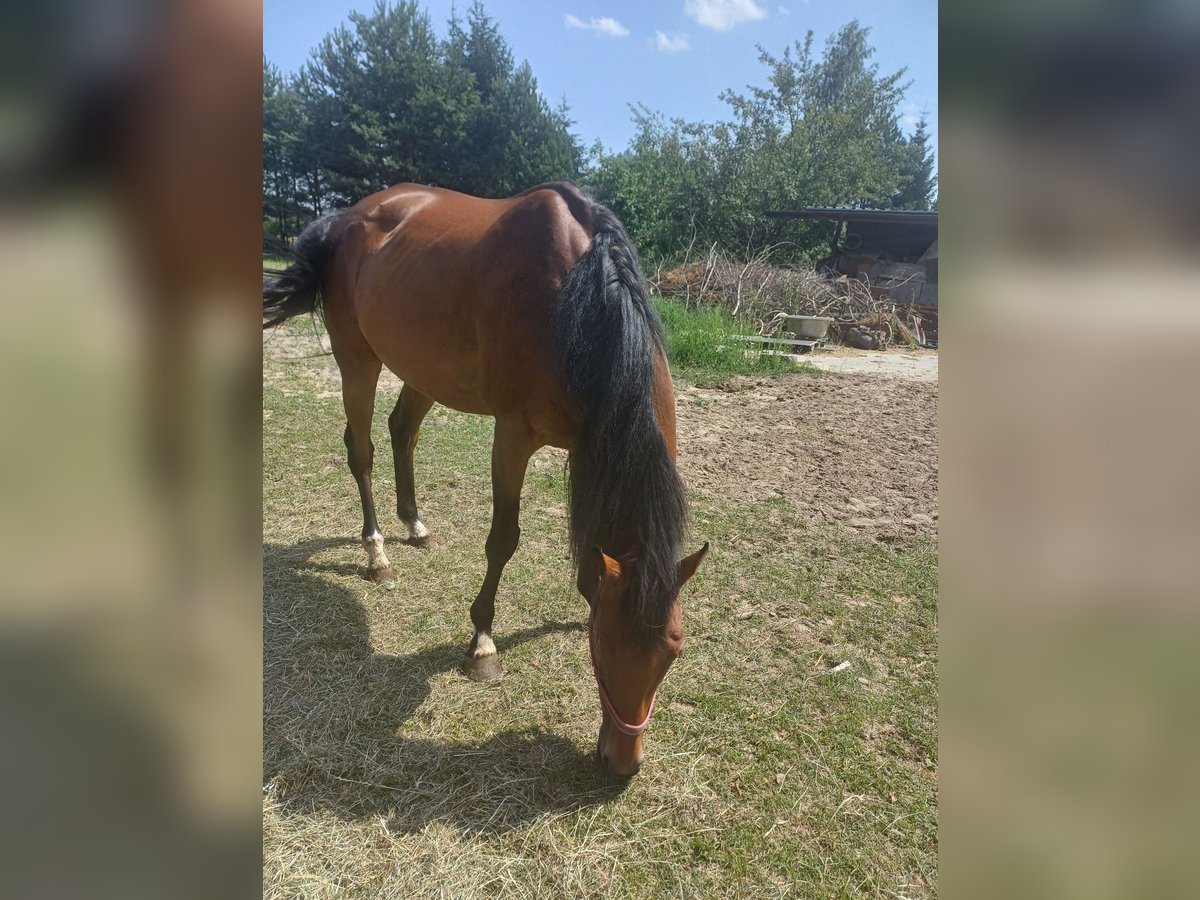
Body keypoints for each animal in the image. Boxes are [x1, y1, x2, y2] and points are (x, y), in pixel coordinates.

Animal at [265, 181, 700, 777]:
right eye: (605, 649)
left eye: (674, 649)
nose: (622, 765)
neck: (576, 302)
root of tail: (346, 218)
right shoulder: (513, 435)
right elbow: (503, 540)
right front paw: (483, 643)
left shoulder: (586, 447)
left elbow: (589, 545)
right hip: (358, 359)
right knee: (362, 452)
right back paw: (377, 553)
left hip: (421, 369)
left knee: (403, 431)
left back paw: (416, 525)